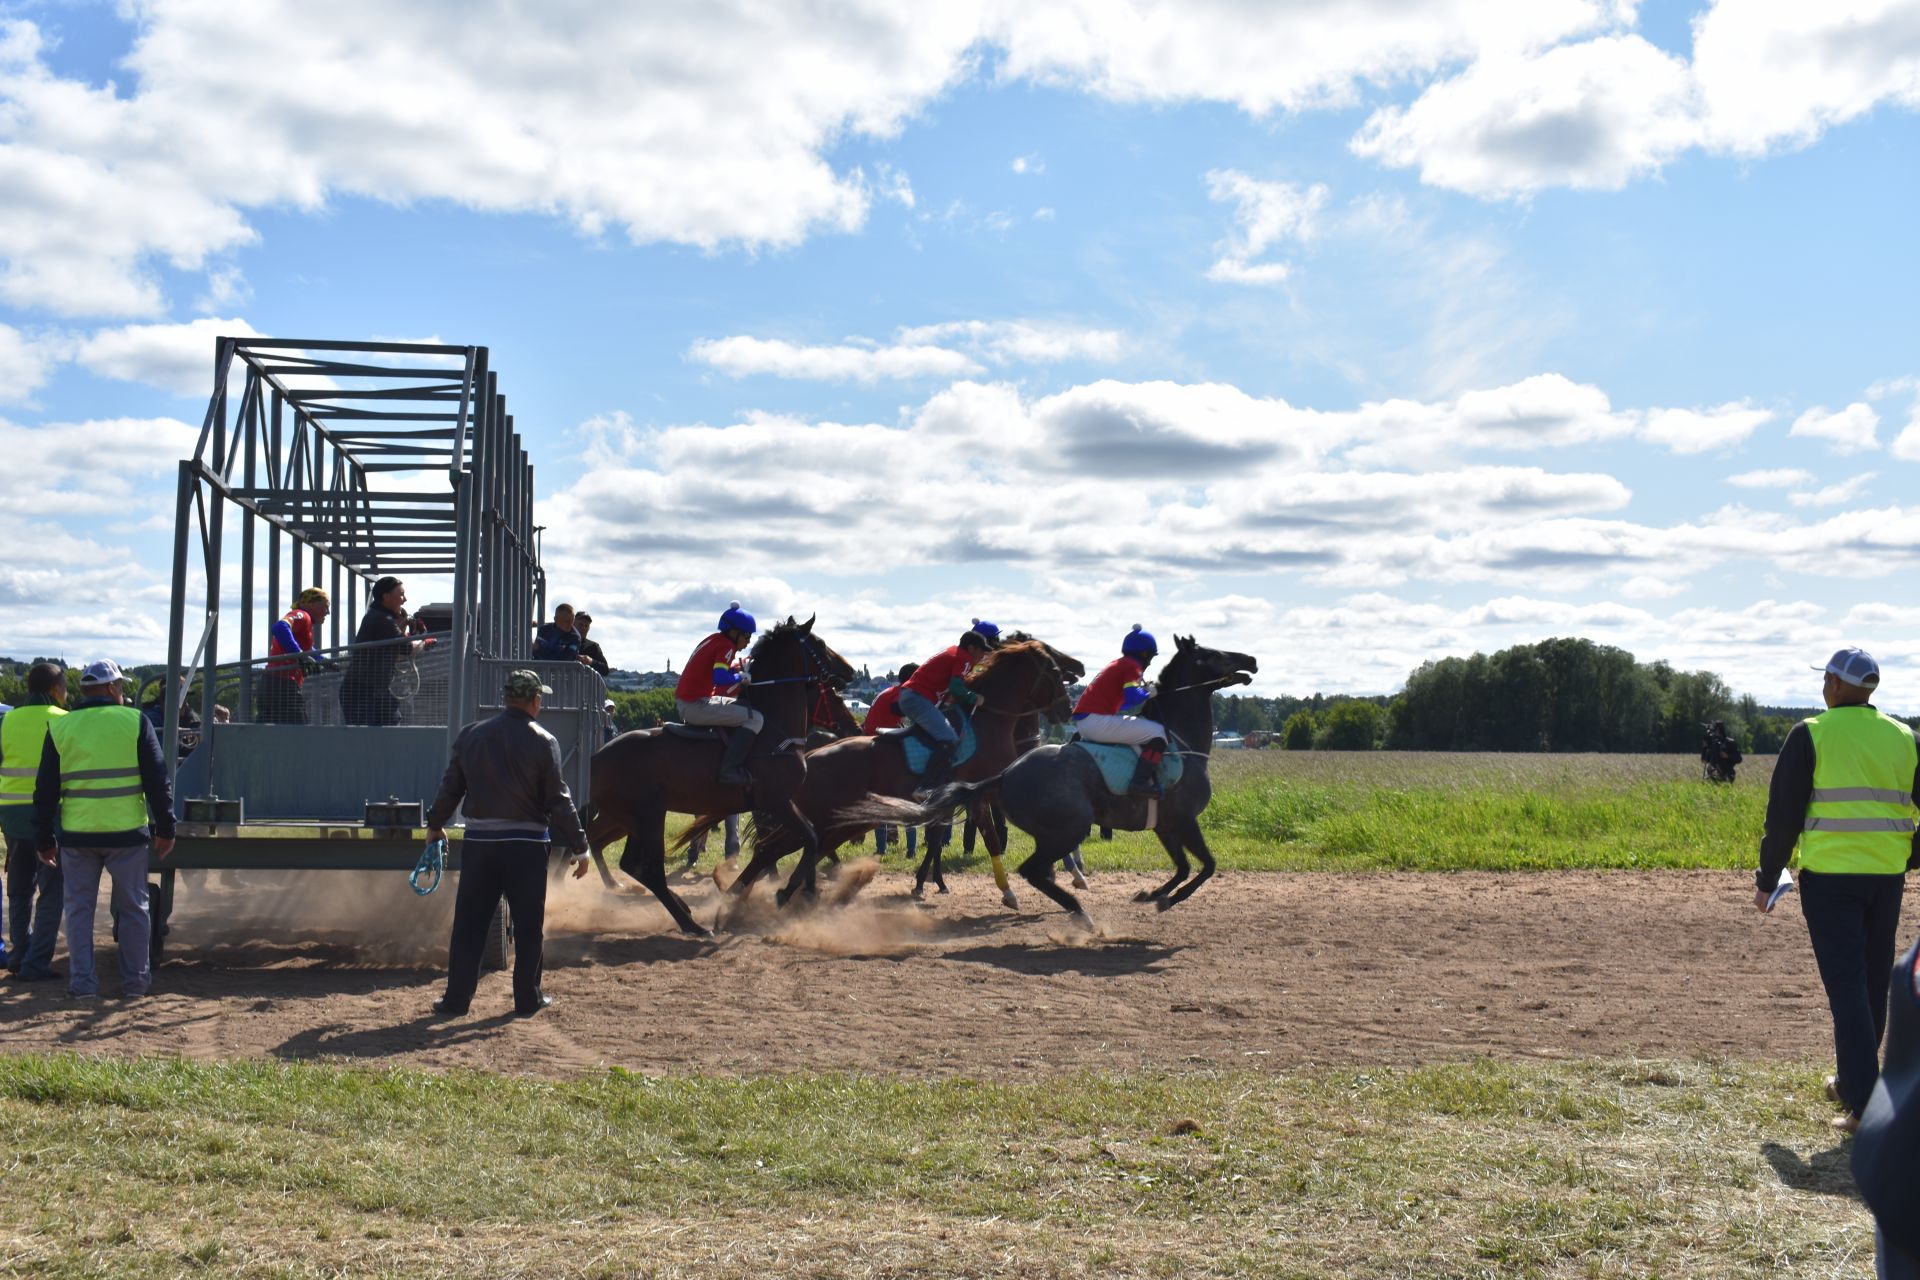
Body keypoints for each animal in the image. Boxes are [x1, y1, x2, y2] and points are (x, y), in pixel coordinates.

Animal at [583, 614, 856, 936]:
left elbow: (803, 839)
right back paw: (691, 924)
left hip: (632, 819)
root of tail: (597, 757)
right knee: (646, 867)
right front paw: (785, 892)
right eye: (821, 644)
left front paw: (801, 892)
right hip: (647, 817)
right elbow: (807, 838)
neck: (773, 730)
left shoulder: (780, 803)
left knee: (626, 860)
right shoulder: (775, 801)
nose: (850, 671)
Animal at [675, 637, 1075, 917]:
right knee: (777, 847)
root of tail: (812, 756)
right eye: (1055, 672)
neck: (988, 719)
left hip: (840, 821)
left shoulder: (970, 796)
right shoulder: (980, 793)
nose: (1067, 708)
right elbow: (990, 837)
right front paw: (1010, 891)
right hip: (826, 817)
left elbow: (953, 837)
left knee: (787, 848)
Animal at [860, 633, 1259, 921]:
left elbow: (1184, 866)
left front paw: (1151, 894)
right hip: (1072, 824)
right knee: (1029, 867)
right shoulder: (1185, 819)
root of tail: (1006, 775)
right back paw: (1074, 909)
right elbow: (1206, 866)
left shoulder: (1167, 824)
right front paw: (1166, 899)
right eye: (1213, 654)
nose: (1251, 659)